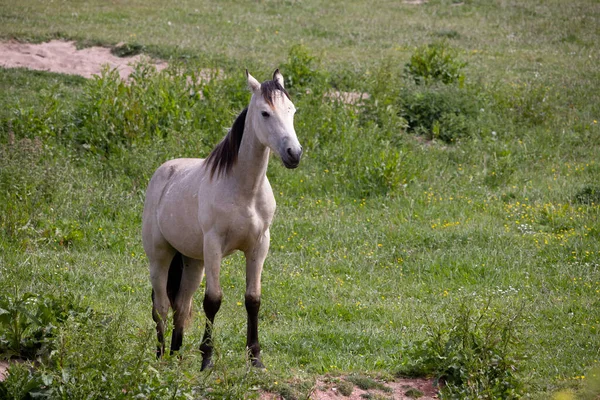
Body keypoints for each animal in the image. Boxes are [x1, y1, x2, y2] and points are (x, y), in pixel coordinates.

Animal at [140, 69, 300, 372]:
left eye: (292, 110)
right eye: (265, 113)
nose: (294, 154)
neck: (244, 190)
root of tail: (163, 172)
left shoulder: (259, 246)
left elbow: (253, 300)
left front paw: (255, 359)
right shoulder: (214, 245)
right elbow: (213, 301)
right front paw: (207, 359)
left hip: (193, 262)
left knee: (181, 305)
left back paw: (176, 356)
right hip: (160, 256)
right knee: (162, 307)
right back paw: (159, 358)